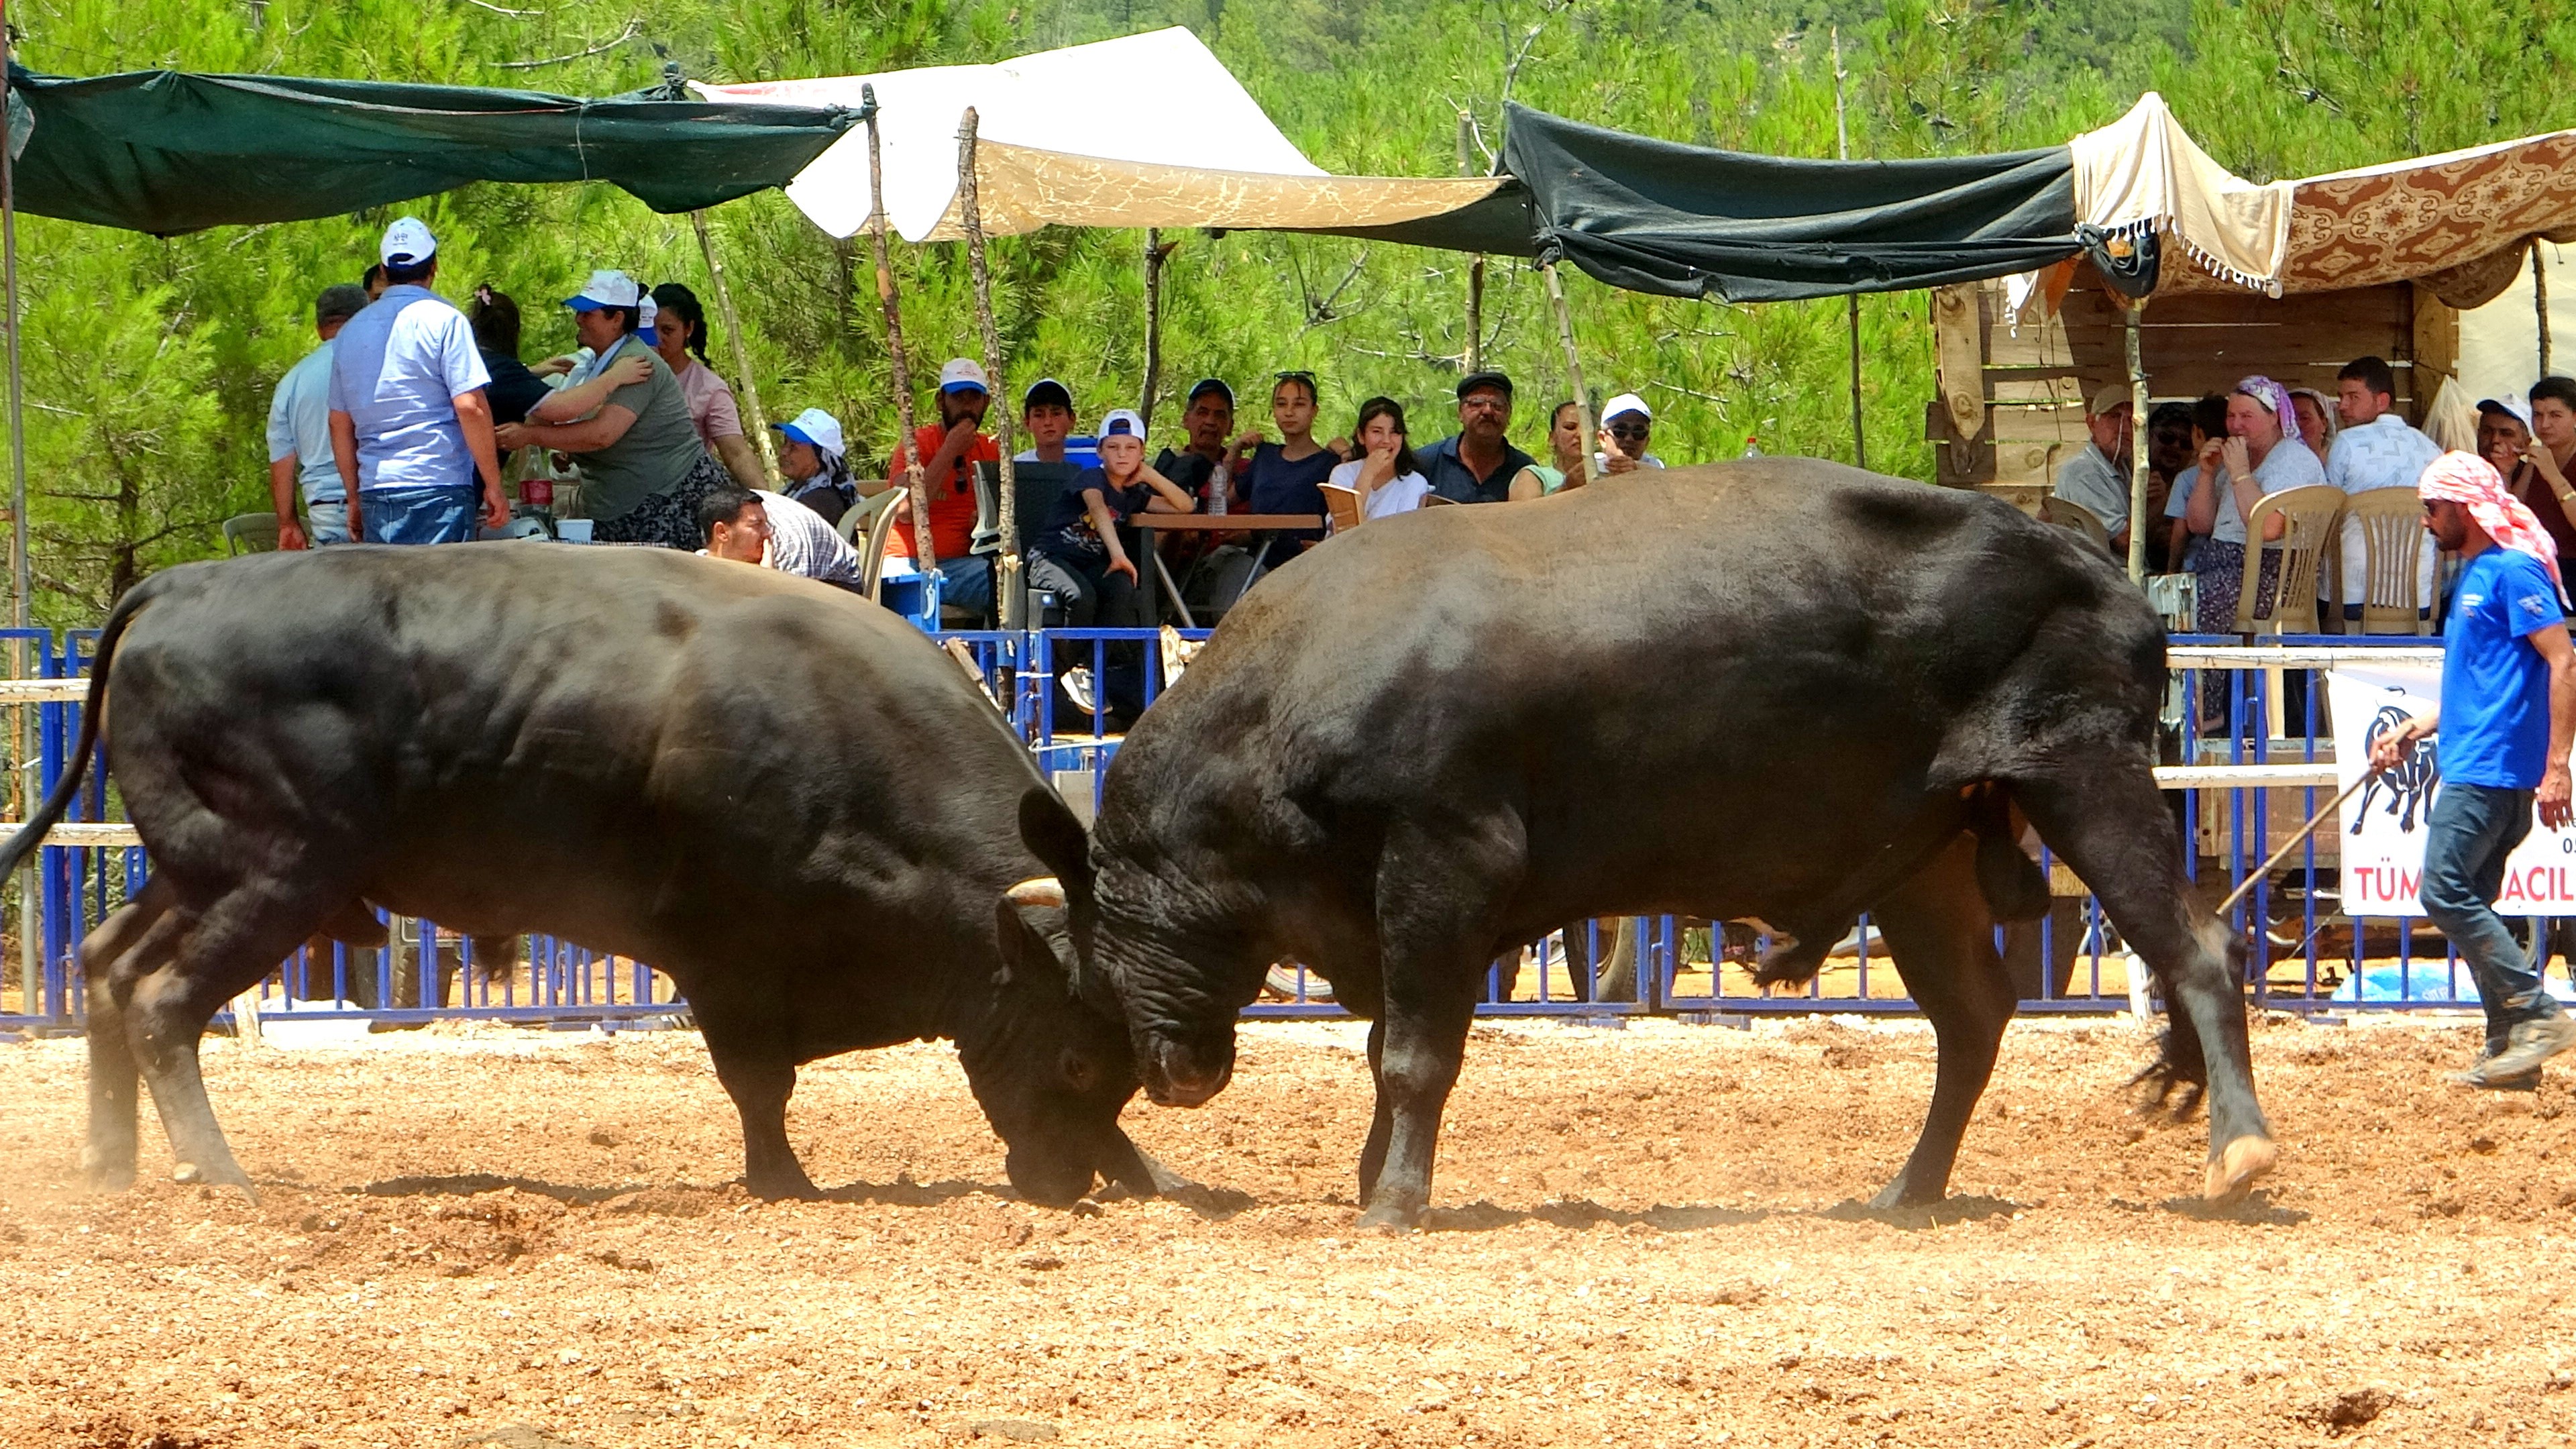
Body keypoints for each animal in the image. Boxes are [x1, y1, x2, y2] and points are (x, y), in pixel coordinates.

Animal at [0, 546, 1169, 1201]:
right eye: (1074, 1062)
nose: (1064, 1182)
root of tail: (176, 588)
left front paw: (1148, 1173)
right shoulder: (730, 964)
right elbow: (760, 1085)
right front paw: (784, 1181)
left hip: (192, 874)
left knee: (104, 967)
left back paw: (112, 1159)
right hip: (273, 878)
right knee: (162, 1001)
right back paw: (219, 1172)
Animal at [1025, 459, 2277, 1217]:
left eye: (1114, 919)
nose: (1170, 1072)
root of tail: (2100, 572)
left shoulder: (1445, 865)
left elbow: (1417, 1055)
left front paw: (1396, 1200)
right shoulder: (1390, 921)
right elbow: (1390, 1051)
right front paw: (1380, 1177)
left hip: (2086, 777)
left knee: (2199, 953)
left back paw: (2239, 1148)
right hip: (1925, 863)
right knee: (1974, 1021)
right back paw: (1906, 1191)